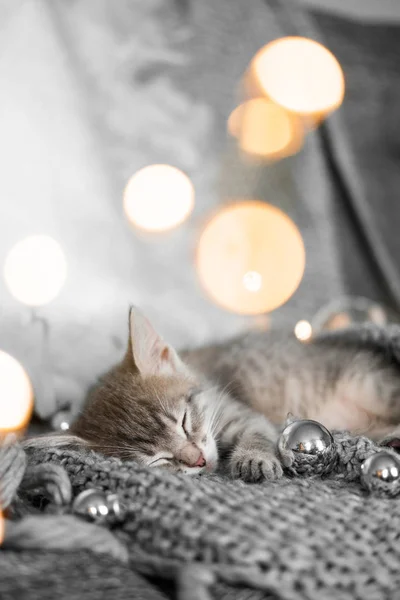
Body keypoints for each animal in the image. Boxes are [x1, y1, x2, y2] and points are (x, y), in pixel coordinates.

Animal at [28, 310, 400, 482]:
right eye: (158, 460)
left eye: (183, 421)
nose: (197, 461)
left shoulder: (240, 411)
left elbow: (258, 432)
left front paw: (254, 458)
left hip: (371, 383)